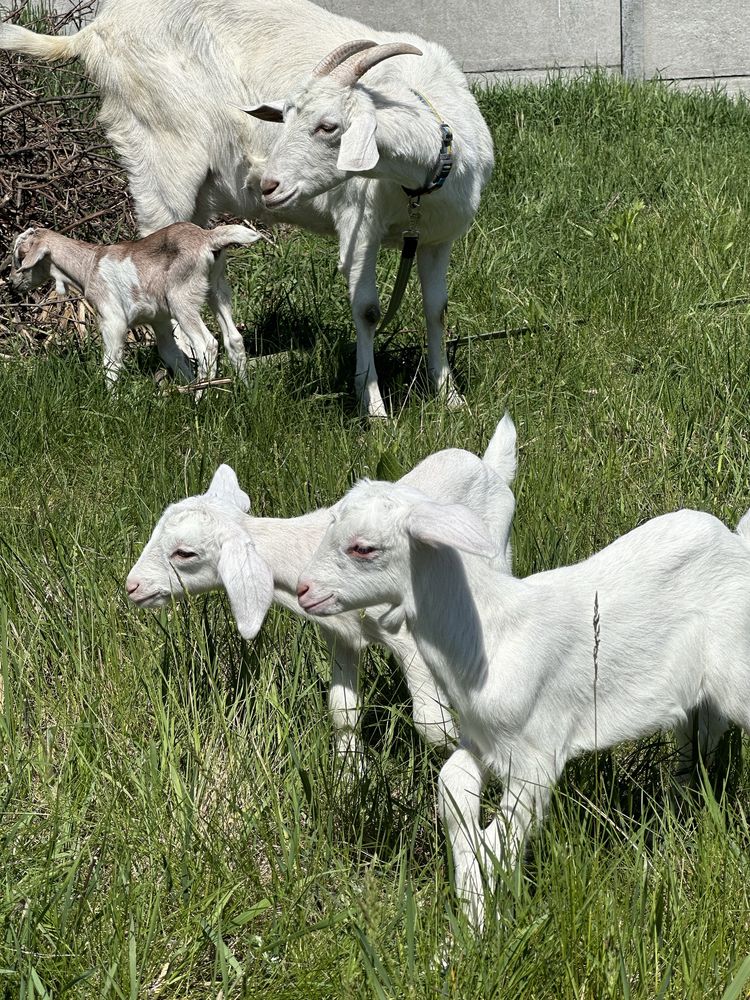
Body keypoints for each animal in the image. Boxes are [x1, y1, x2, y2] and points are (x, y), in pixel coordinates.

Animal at [2, 0, 496, 414]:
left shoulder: (436, 239)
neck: (421, 179)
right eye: (286, 117)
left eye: (328, 126)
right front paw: (374, 409)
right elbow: (369, 311)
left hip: (198, 194)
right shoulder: (360, 226)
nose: (268, 184)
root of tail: (95, 30)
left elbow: (437, 308)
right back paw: (189, 371)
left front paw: (450, 398)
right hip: (159, 153)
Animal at [126, 414, 520, 756]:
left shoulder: (407, 637)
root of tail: (488, 466)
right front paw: (350, 774)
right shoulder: (340, 635)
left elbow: (432, 724)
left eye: (184, 553)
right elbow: (343, 712)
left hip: (499, 549)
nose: (132, 586)